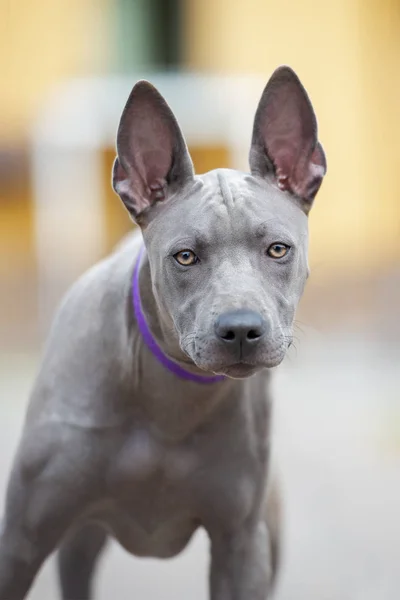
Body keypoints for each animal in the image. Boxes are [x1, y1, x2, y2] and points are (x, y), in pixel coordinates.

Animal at [0, 65, 324, 600]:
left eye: (278, 250)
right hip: (77, 537)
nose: (241, 329)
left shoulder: (241, 546)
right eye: (185, 256)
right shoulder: (22, 541)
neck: (168, 400)